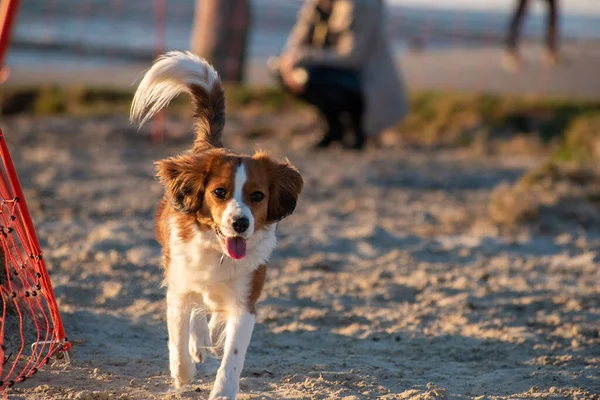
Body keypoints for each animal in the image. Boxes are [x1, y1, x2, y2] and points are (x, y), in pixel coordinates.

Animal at [129, 51, 302, 398]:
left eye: (258, 196)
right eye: (220, 192)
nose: (240, 223)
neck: (217, 250)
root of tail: (209, 146)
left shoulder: (245, 303)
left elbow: (232, 355)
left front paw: (223, 390)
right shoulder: (178, 288)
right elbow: (178, 337)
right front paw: (183, 373)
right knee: (196, 313)